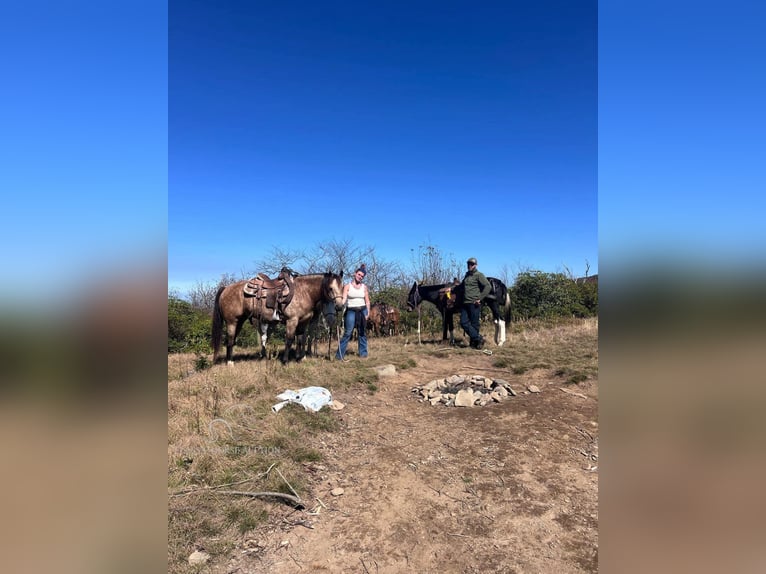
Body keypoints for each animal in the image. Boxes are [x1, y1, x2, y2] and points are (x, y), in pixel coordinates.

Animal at [208, 274, 344, 364]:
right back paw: (230, 362)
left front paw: (299, 358)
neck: (304, 292)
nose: (339, 306)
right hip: (232, 322)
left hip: (240, 321)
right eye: (330, 288)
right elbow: (289, 340)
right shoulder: (292, 321)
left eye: (342, 287)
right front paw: (285, 361)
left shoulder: (303, 323)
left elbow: (300, 340)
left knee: (232, 340)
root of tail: (225, 288)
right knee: (230, 340)